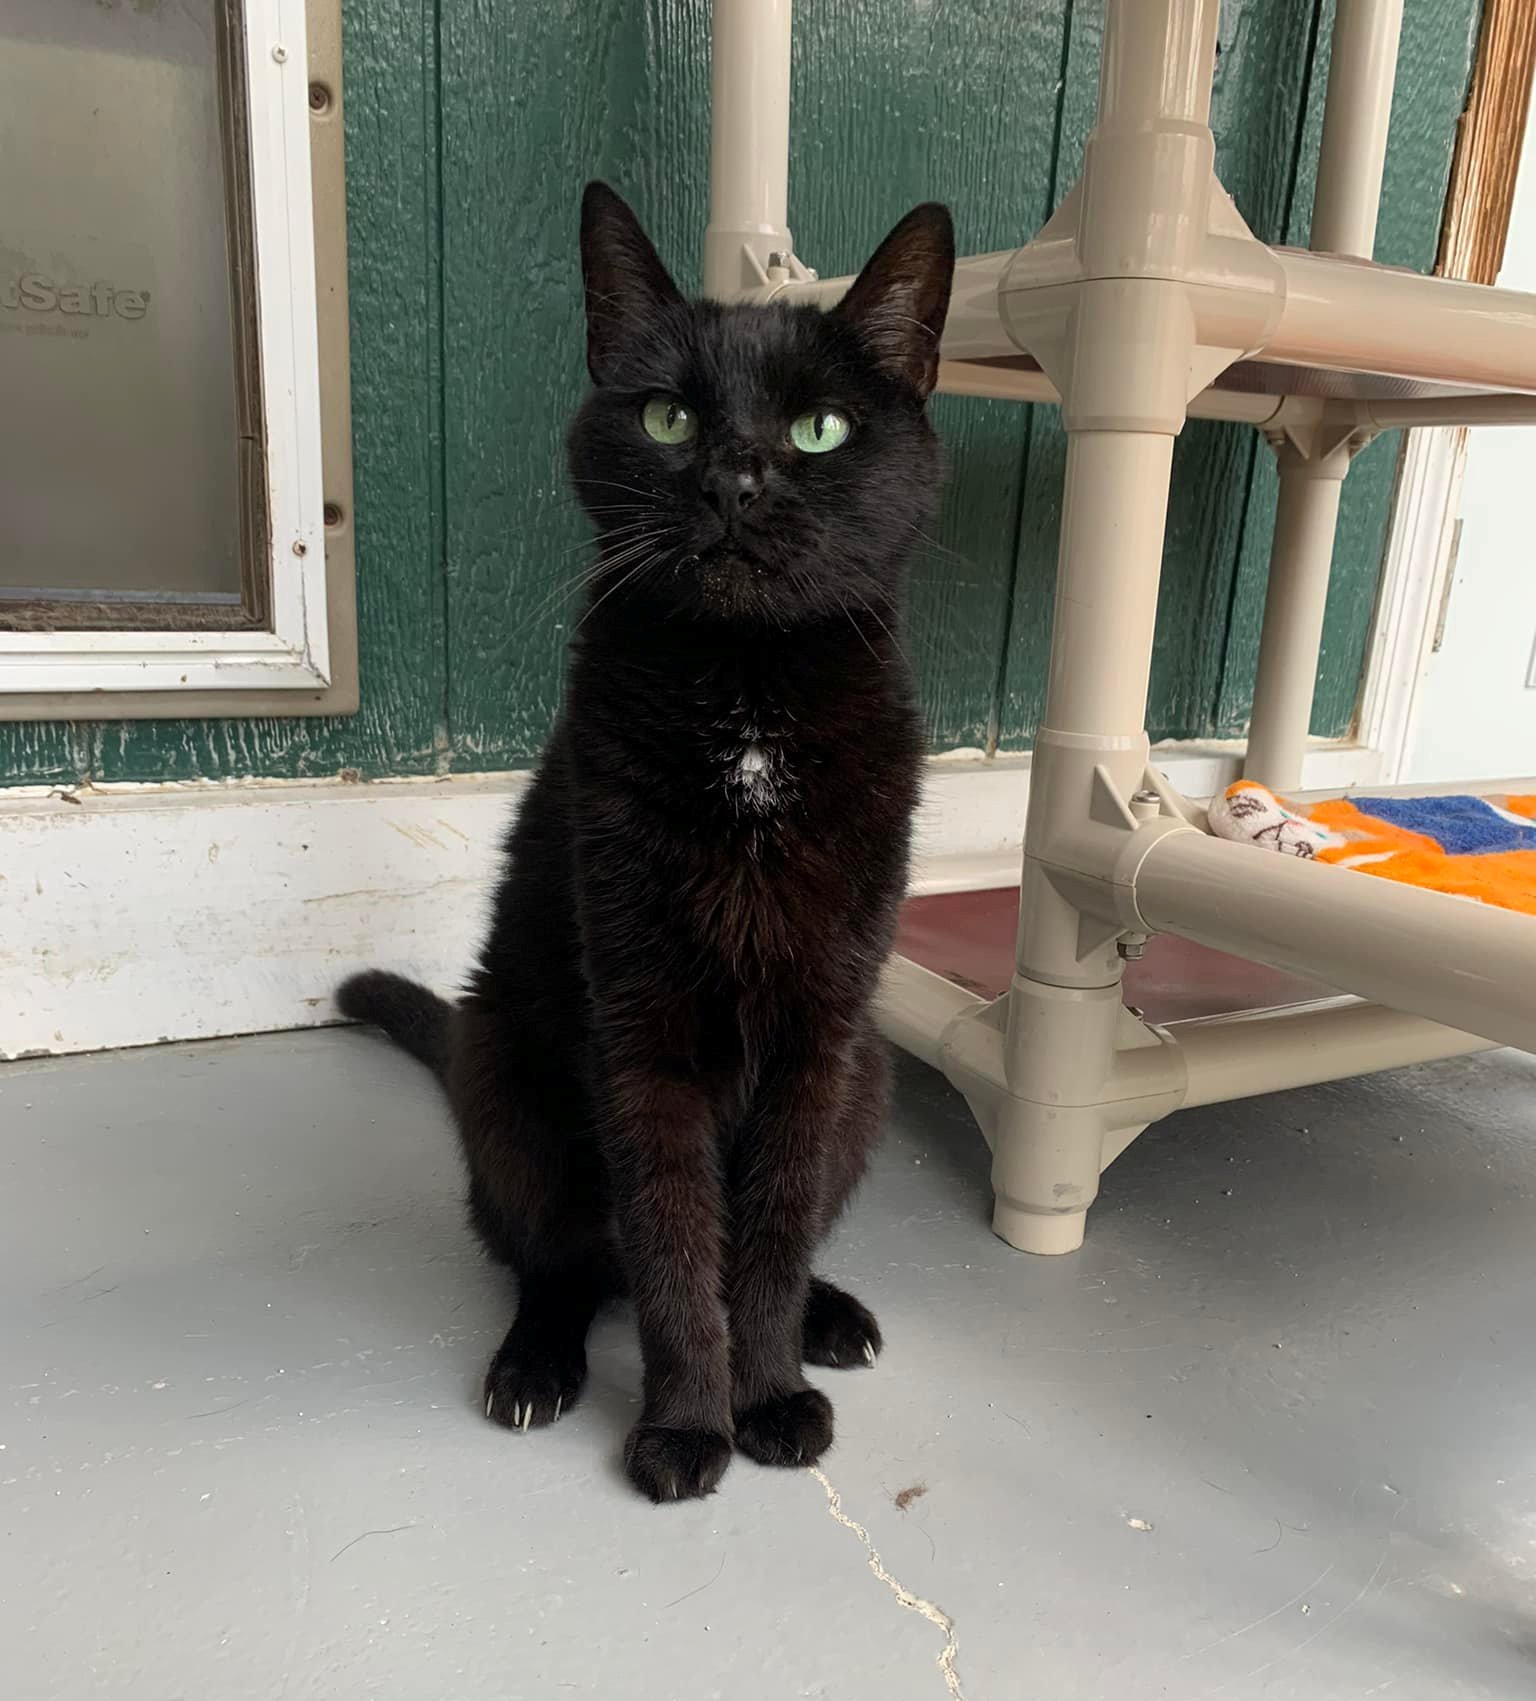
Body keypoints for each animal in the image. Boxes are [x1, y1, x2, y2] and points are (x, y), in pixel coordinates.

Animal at [341, 182, 952, 1503]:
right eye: (669, 418)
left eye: (819, 430)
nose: (733, 482)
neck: (750, 707)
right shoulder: (640, 1026)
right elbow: (674, 1244)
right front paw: (684, 1427)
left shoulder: (819, 1033)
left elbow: (764, 1240)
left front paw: (768, 1395)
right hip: (508, 1077)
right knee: (564, 1261)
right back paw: (533, 1364)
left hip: (869, 1077)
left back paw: (832, 1315)